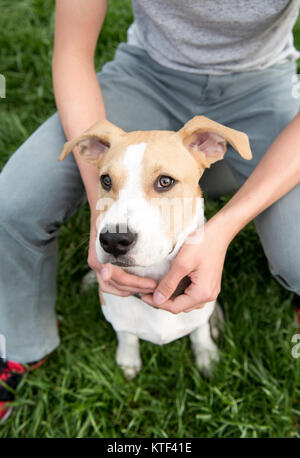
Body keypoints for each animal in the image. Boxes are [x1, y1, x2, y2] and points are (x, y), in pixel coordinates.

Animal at [58, 115, 251, 380]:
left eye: (165, 181)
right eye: (106, 180)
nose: (113, 240)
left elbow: (199, 331)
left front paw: (207, 356)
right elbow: (126, 334)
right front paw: (128, 361)